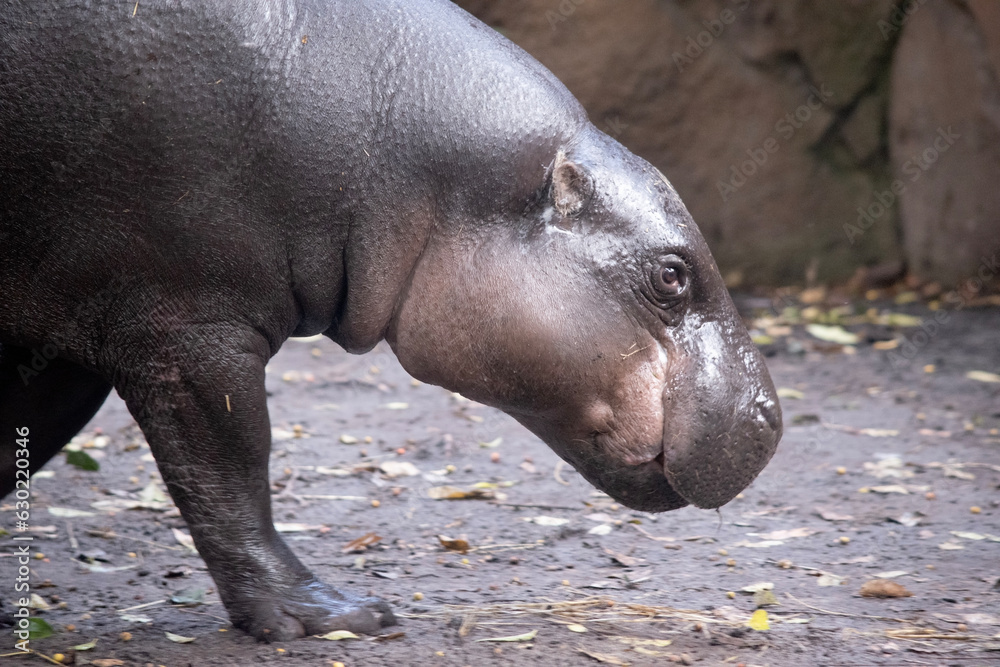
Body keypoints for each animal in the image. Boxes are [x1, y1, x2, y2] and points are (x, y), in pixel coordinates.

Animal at [0, 0, 781, 641]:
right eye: (671, 275)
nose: (772, 417)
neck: (406, 160)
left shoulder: (67, 341)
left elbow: (26, 439)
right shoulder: (188, 328)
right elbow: (232, 468)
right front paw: (333, 617)